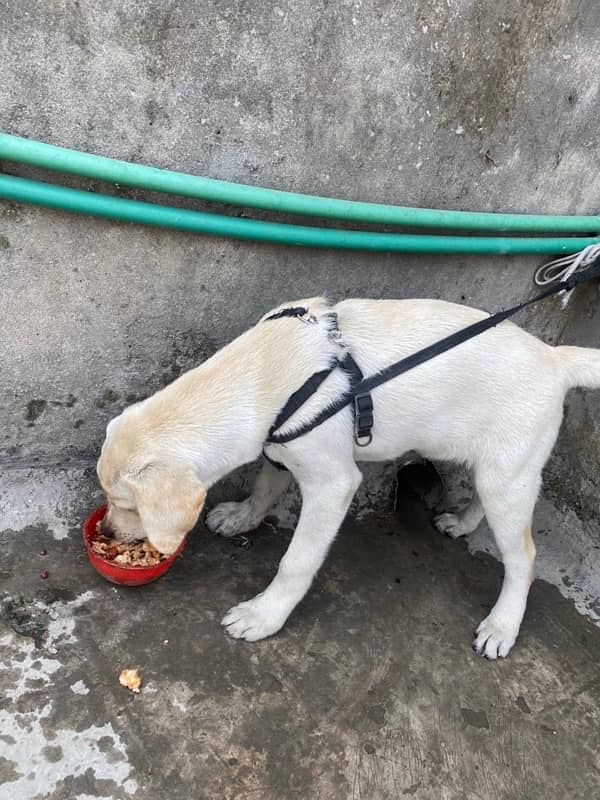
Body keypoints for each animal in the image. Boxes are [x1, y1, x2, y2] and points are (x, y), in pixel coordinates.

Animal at [96, 296, 596, 660]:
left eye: (127, 505)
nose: (107, 532)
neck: (261, 375)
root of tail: (554, 358)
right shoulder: (279, 449)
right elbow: (263, 489)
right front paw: (241, 517)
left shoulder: (331, 483)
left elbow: (296, 561)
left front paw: (264, 615)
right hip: (494, 469)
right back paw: (463, 522)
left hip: (507, 478)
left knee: (524, 558)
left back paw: (502, 626)